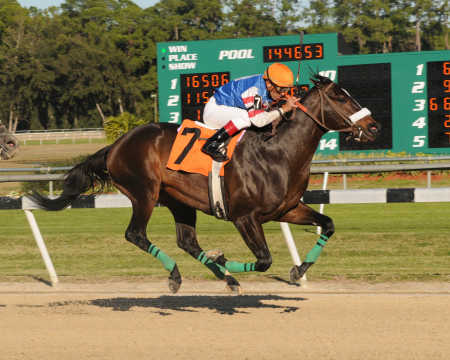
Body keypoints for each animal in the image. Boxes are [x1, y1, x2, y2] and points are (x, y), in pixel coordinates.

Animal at [28, 75, 380, 292]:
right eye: (339, 97)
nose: (374, 126)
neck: (277, 151)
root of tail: (115, 145)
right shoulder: (244, 217)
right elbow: (264, 260)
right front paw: (224, 258)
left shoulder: (287, 209)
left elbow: (328, 224)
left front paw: (297, 271)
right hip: (144, 193)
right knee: (136, 234)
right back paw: (181, 274)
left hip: (179, 201)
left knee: (187, 242)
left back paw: (224, 279)